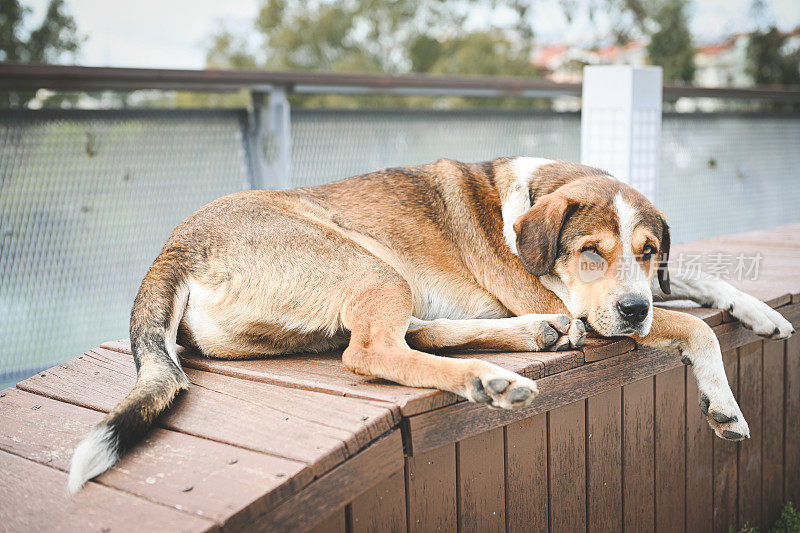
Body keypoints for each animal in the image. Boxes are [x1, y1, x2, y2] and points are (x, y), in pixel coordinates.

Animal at [67, 157, 792, 490]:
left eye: (646, 251)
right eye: (591, 251)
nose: (634, 308)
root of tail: (173, 246)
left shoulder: (646, 287)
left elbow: (699, 280)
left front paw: (759, 312)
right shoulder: (582, 301)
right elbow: (694, 328)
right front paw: (724, 406)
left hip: (384, 278)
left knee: (403, 334)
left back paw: (529, 339)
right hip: (368, 259)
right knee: (369, 351)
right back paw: (488, 379)